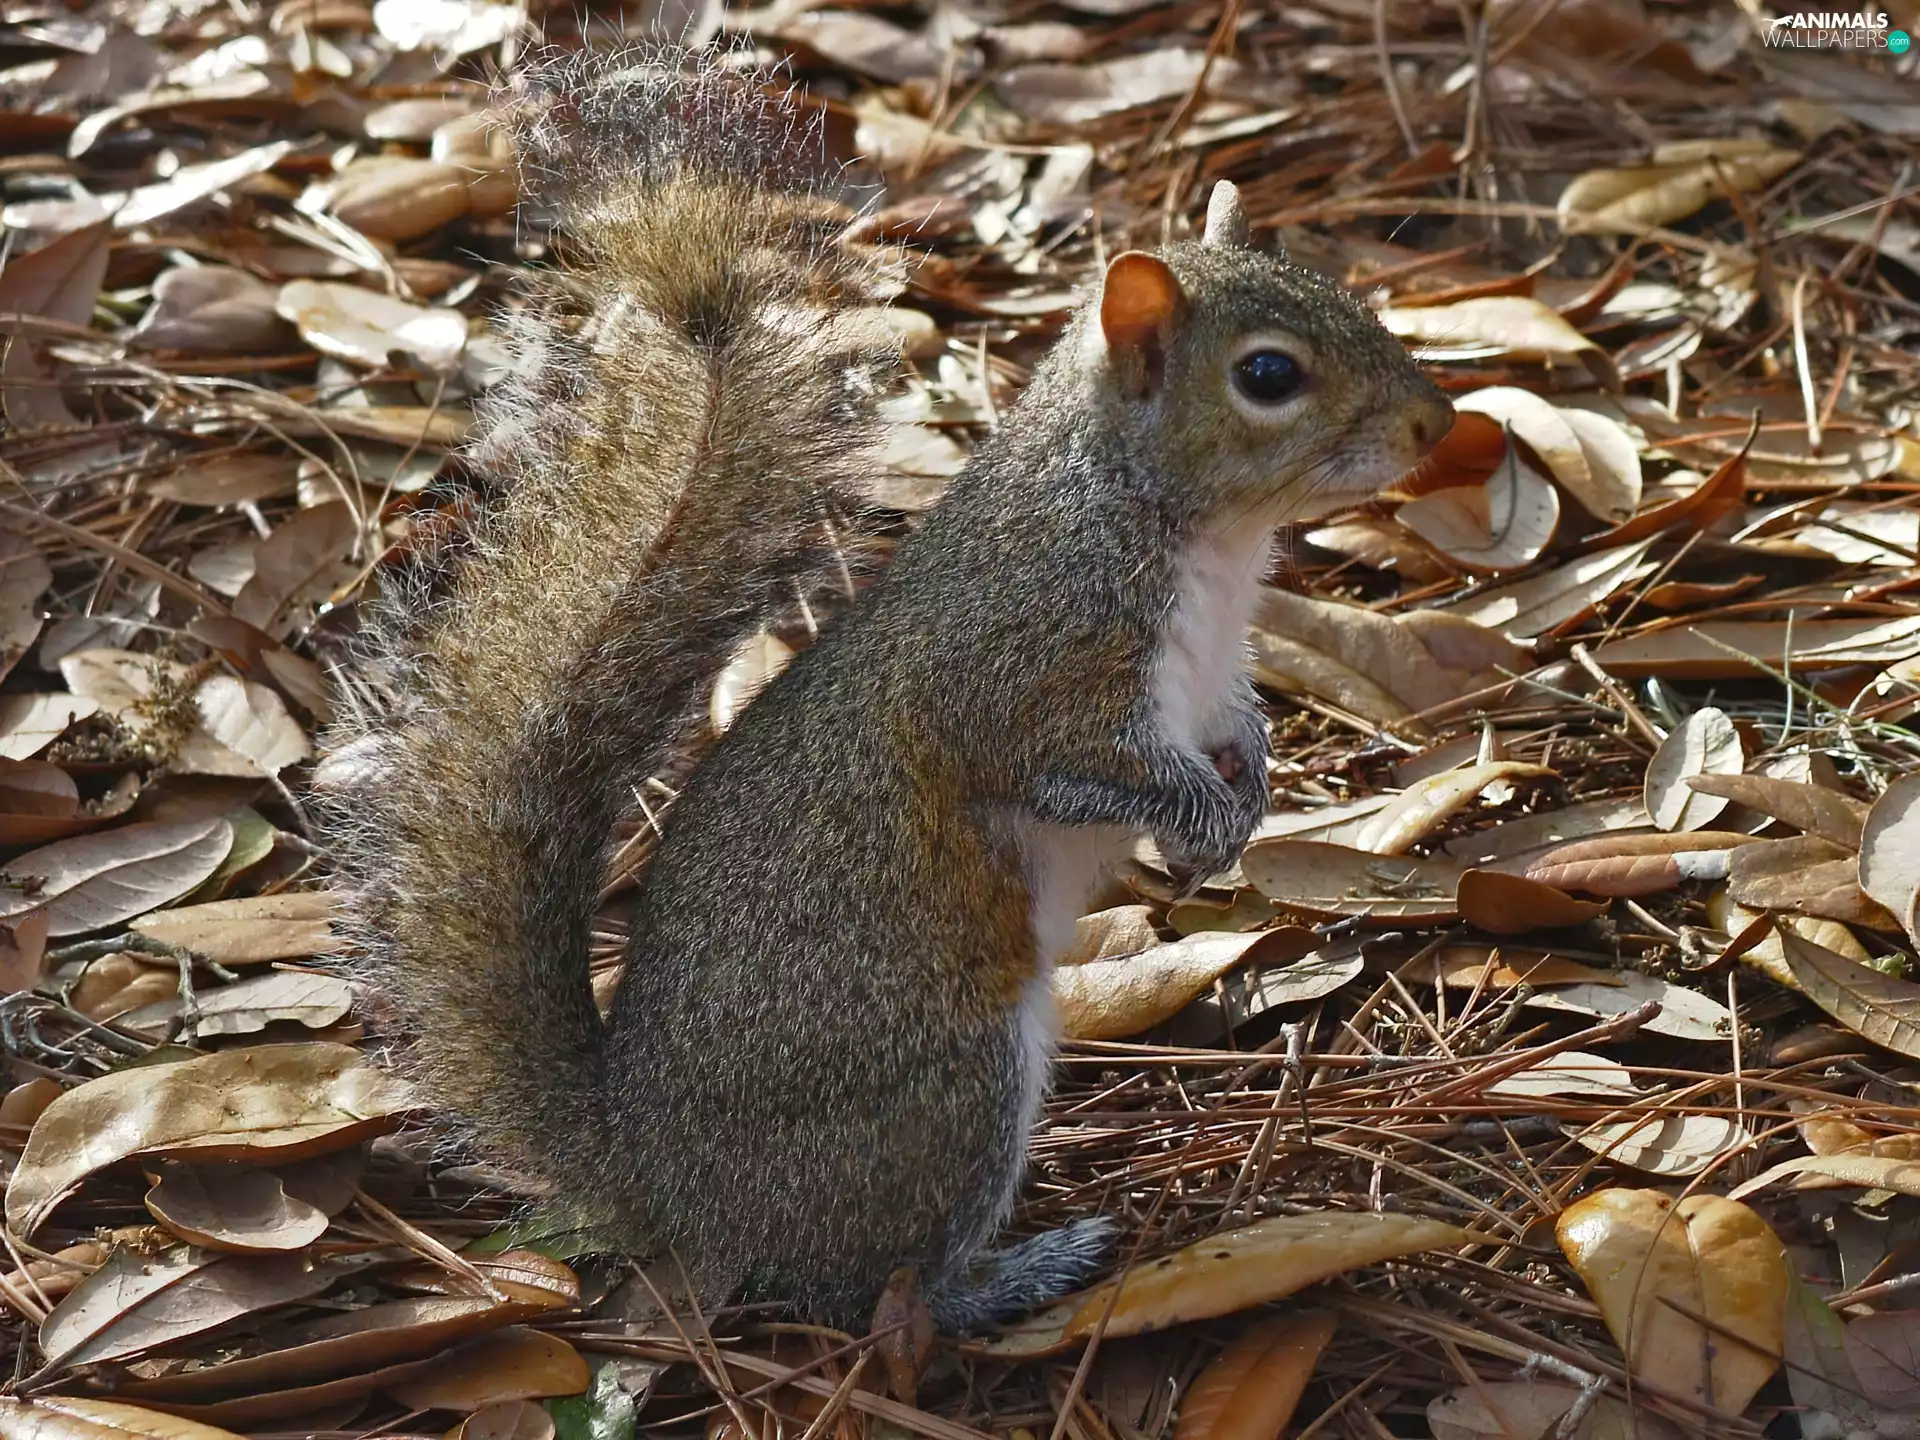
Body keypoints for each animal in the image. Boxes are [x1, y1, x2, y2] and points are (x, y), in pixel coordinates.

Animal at [314, 47, 1454, 1332]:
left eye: (1345, 292)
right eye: (1268, 375)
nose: (1437, 421)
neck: (1183, 533)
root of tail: (663, 1182)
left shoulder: (1207, 676)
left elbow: (1232, 722)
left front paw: (1248, 789)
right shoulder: (1019, 666)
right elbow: (1051, 764)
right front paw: (1198, 819)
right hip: (945, 1088)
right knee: (885, 1288)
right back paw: (1016, 1273)